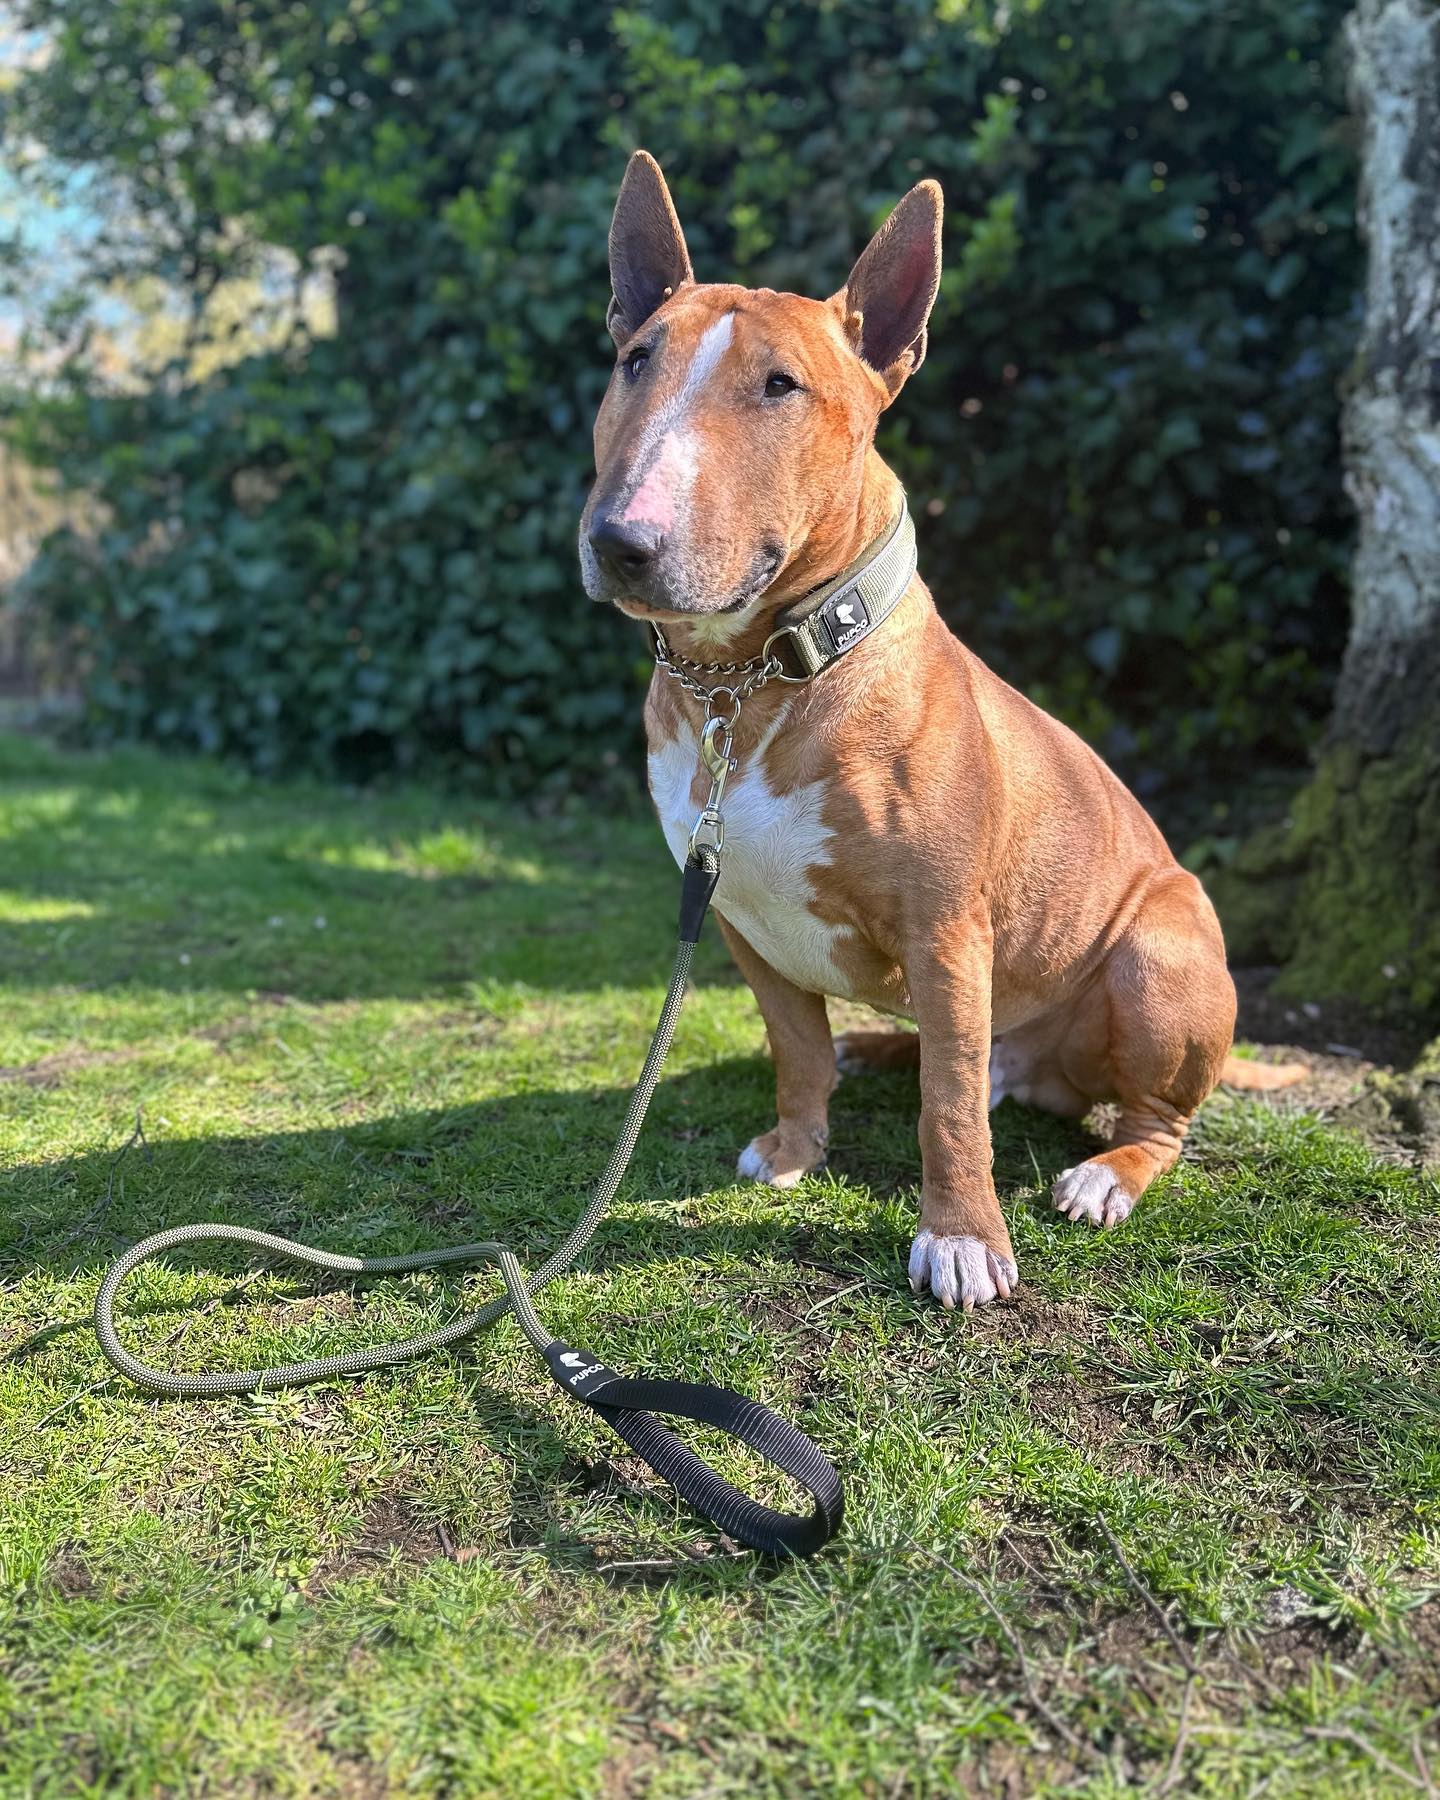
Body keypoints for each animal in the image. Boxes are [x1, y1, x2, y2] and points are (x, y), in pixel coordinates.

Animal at [579, 151, 1296, 1310]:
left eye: (780, 385)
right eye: (635, 360)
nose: (619, 541)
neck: (751, 684)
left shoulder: (948, 930)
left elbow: (949, 1112)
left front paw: (961, 1240)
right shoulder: (737, 920)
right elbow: (798, 1049)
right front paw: (794, 1149)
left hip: (1158, 957)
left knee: (1145, 1118)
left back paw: (1105, 1176)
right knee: (954, 1063)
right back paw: (890, 1053)